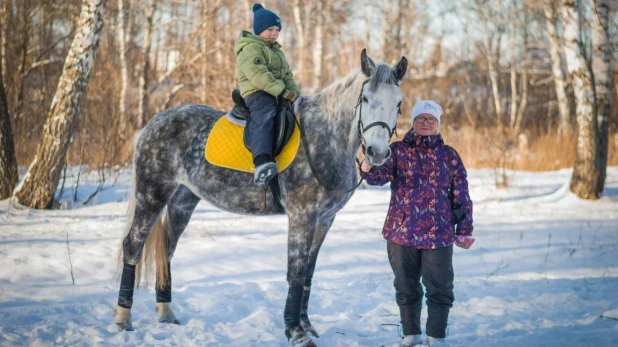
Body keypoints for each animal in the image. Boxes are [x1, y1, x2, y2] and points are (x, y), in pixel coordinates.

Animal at [113, 49, 406, 347]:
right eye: (366, 99)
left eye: (398, 103)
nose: (377, 153)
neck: (323, 139)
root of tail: (153, 124)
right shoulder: (302, 217)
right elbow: (296, 273)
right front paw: (296, 332)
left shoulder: (325, 220)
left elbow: (308, 272)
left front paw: (305, 325)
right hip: (152, 194)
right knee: (133, 246)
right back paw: (123, 319)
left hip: (182, 201)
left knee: (166, 250)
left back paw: (166, 314)